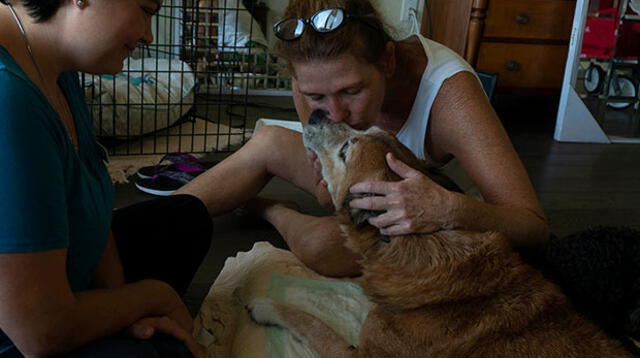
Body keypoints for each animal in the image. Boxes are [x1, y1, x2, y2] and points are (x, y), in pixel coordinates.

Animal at [246, 110, 632, 356]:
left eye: (346, 150)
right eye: (366, 128)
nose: (315, 113)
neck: (414, 242)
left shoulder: (361, 354)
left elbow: (311, 322)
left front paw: (264, 305)